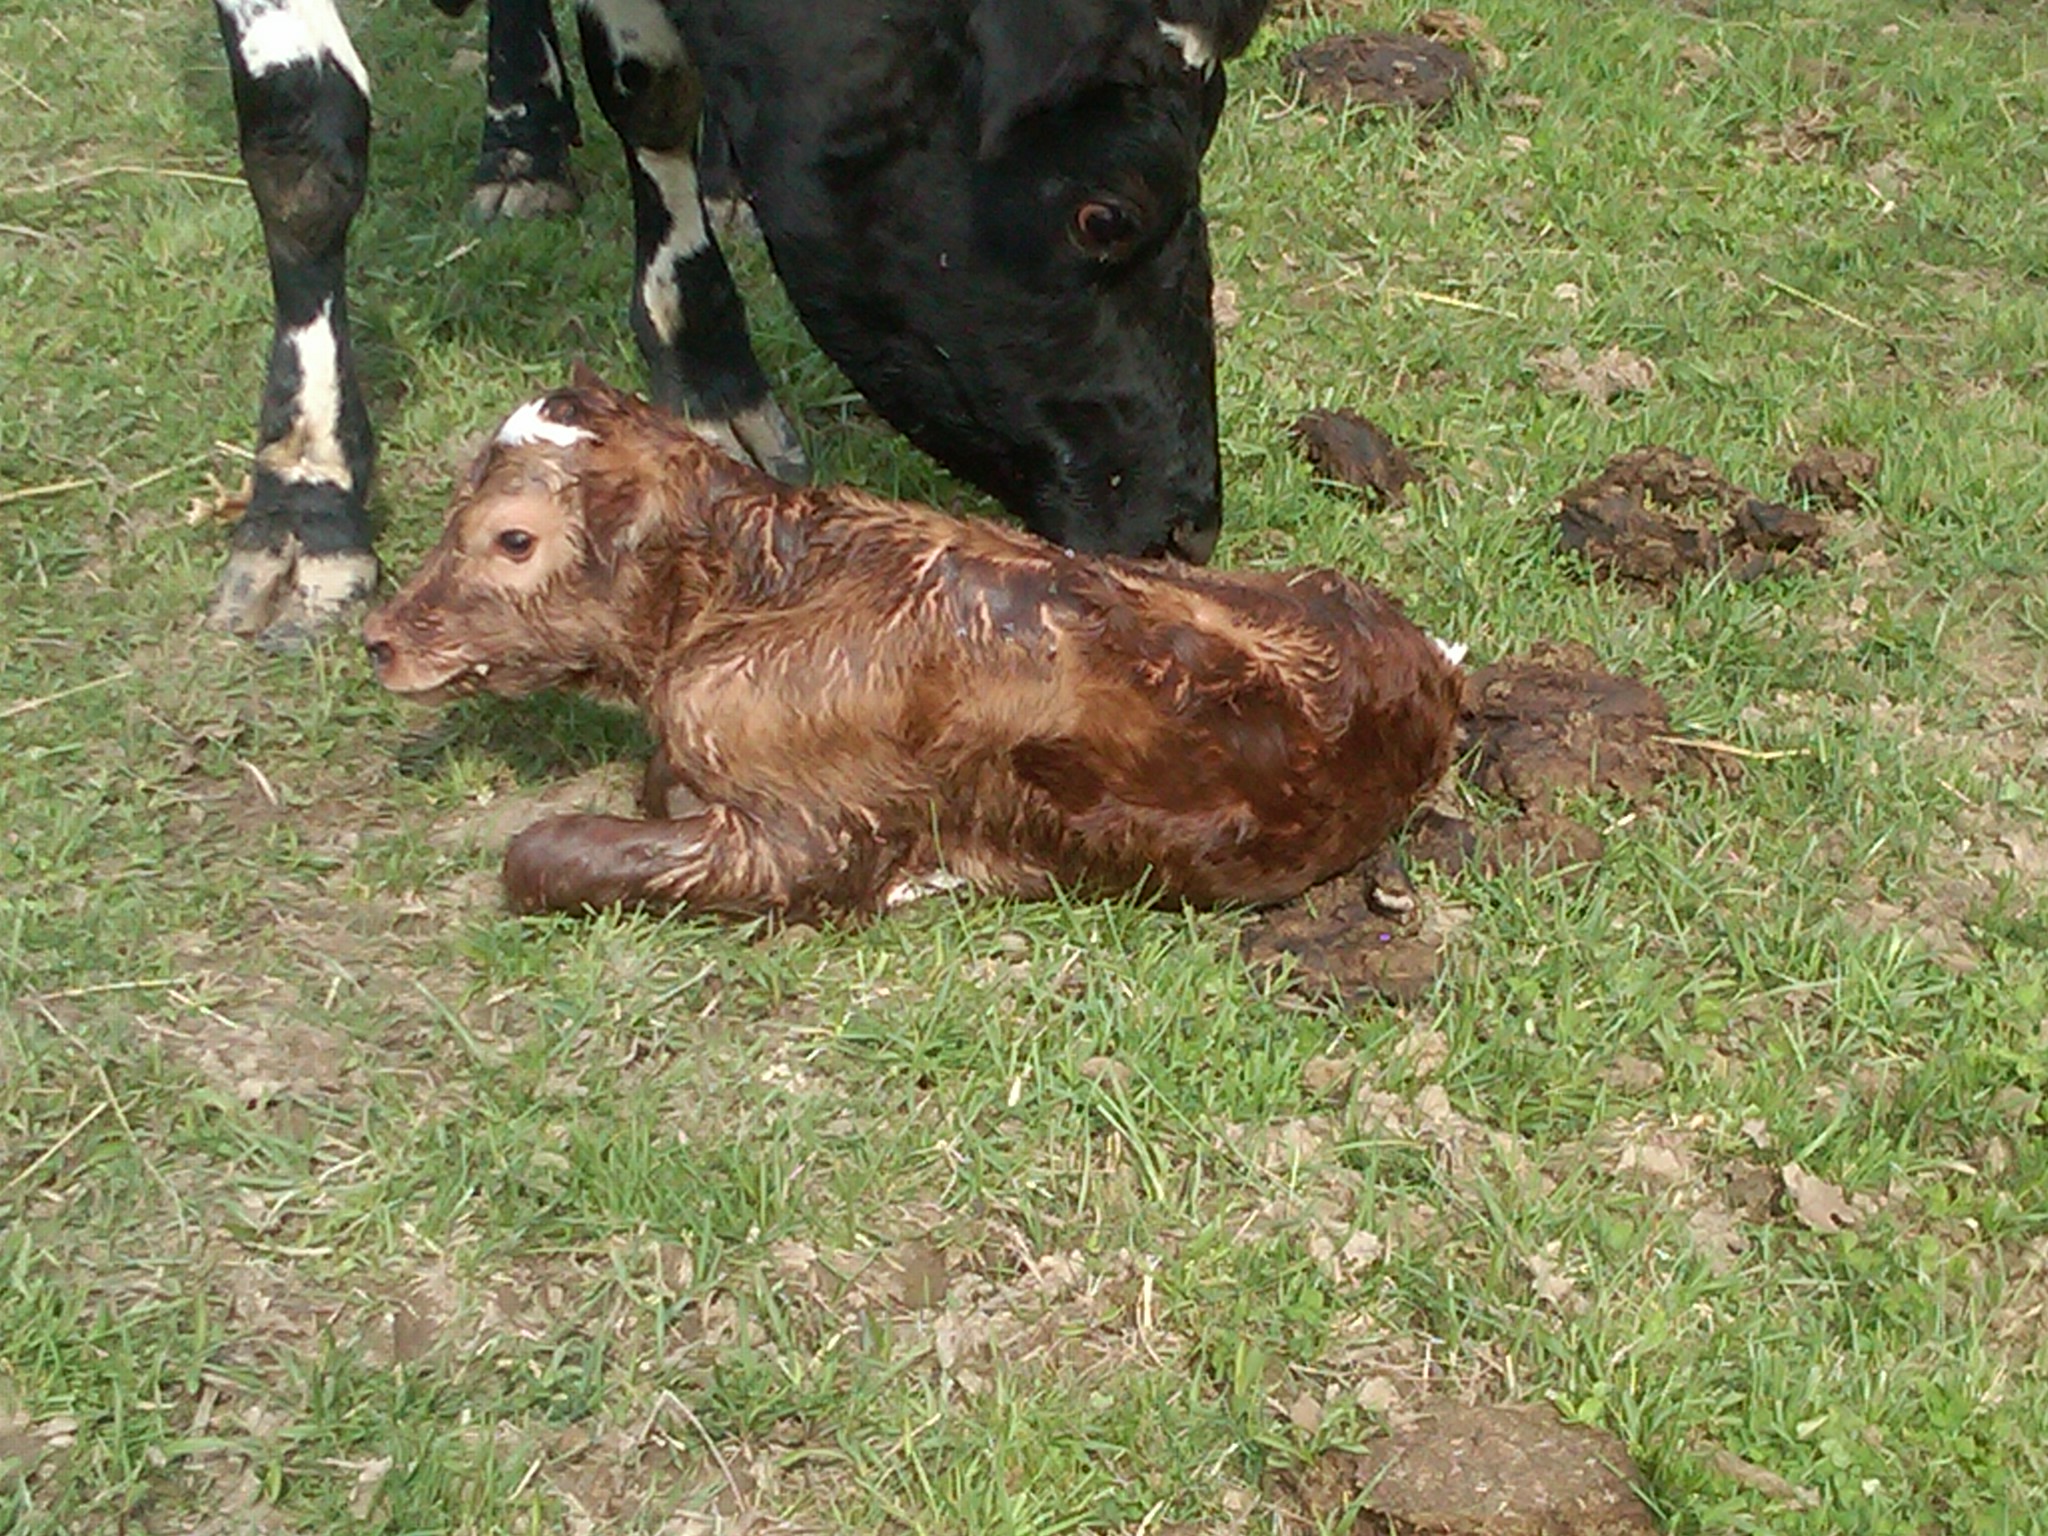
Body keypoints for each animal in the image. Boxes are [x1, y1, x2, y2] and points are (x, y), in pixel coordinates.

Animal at [210, 0, 1271, 649]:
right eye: (1105, 214)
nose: (1186, 524)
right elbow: (302, 133)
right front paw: (305, 502)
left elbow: (646, 85)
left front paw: (706, 375)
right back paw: (520, 141)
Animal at [361, 374, 1464, 921]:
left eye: (513, 538)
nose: (377, 638)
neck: (757, 585)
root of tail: (1429, 668)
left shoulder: (806, 838)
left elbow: (539, 852)